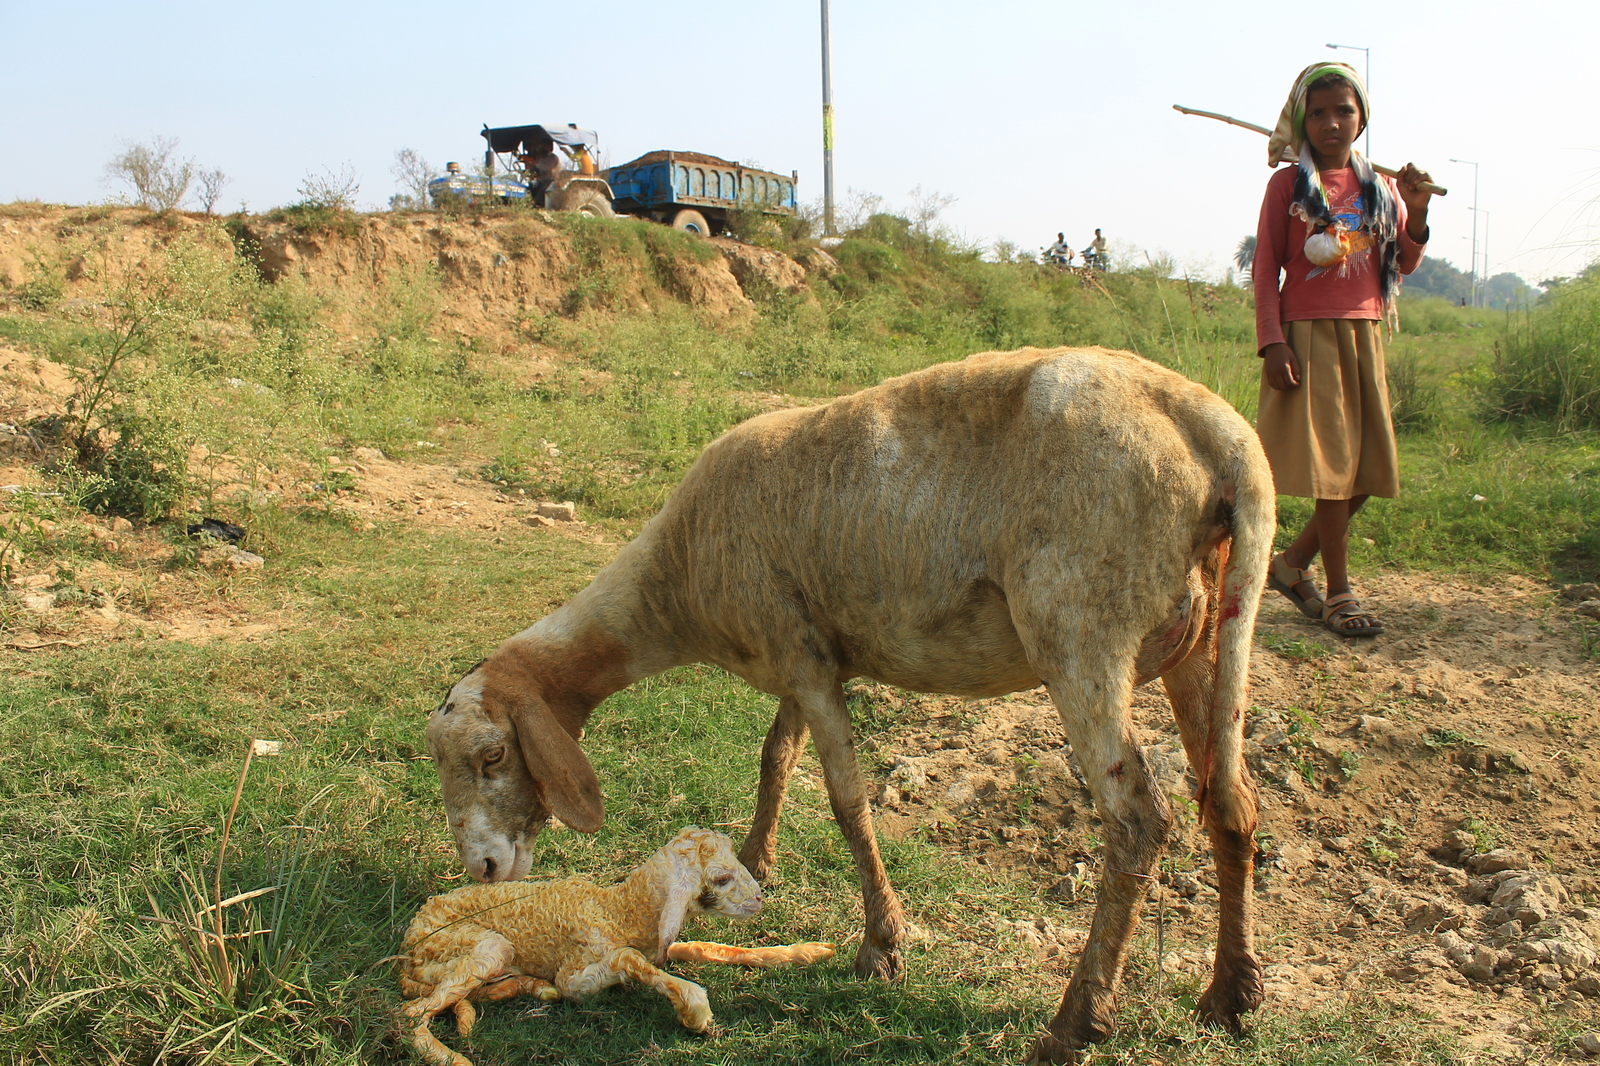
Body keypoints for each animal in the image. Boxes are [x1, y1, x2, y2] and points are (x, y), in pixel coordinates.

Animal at [398, 819, 832, 1062]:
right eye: (722, 878)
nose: (759, 899)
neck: (619, 910)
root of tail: (407, 948)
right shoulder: (576, 976)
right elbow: (628, 961)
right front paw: (695, 1011)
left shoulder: (660, 940)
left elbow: (700, 948)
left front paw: (806, 952)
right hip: (476, 946)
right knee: (410, 1014)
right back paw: (453, 1057)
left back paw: (530, 987)